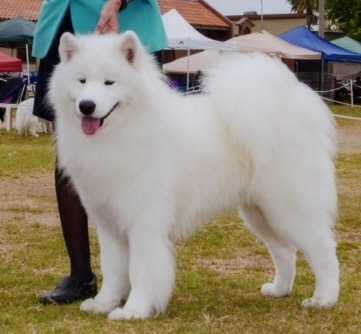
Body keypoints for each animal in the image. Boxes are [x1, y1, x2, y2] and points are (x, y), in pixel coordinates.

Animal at [49, 32, 338, 320]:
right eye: (82, 81)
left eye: (109, 82)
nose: (87, 106)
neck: (123, 131)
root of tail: (291, 106)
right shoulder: (109, 223)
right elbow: (112, 269)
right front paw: (103, 303)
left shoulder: (144, 223)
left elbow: (141, 271)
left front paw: (134, 310)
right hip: (261, 214)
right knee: (285, 251)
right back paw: (279, 290)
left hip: (289, 210)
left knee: (323, 251)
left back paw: (324, 299)